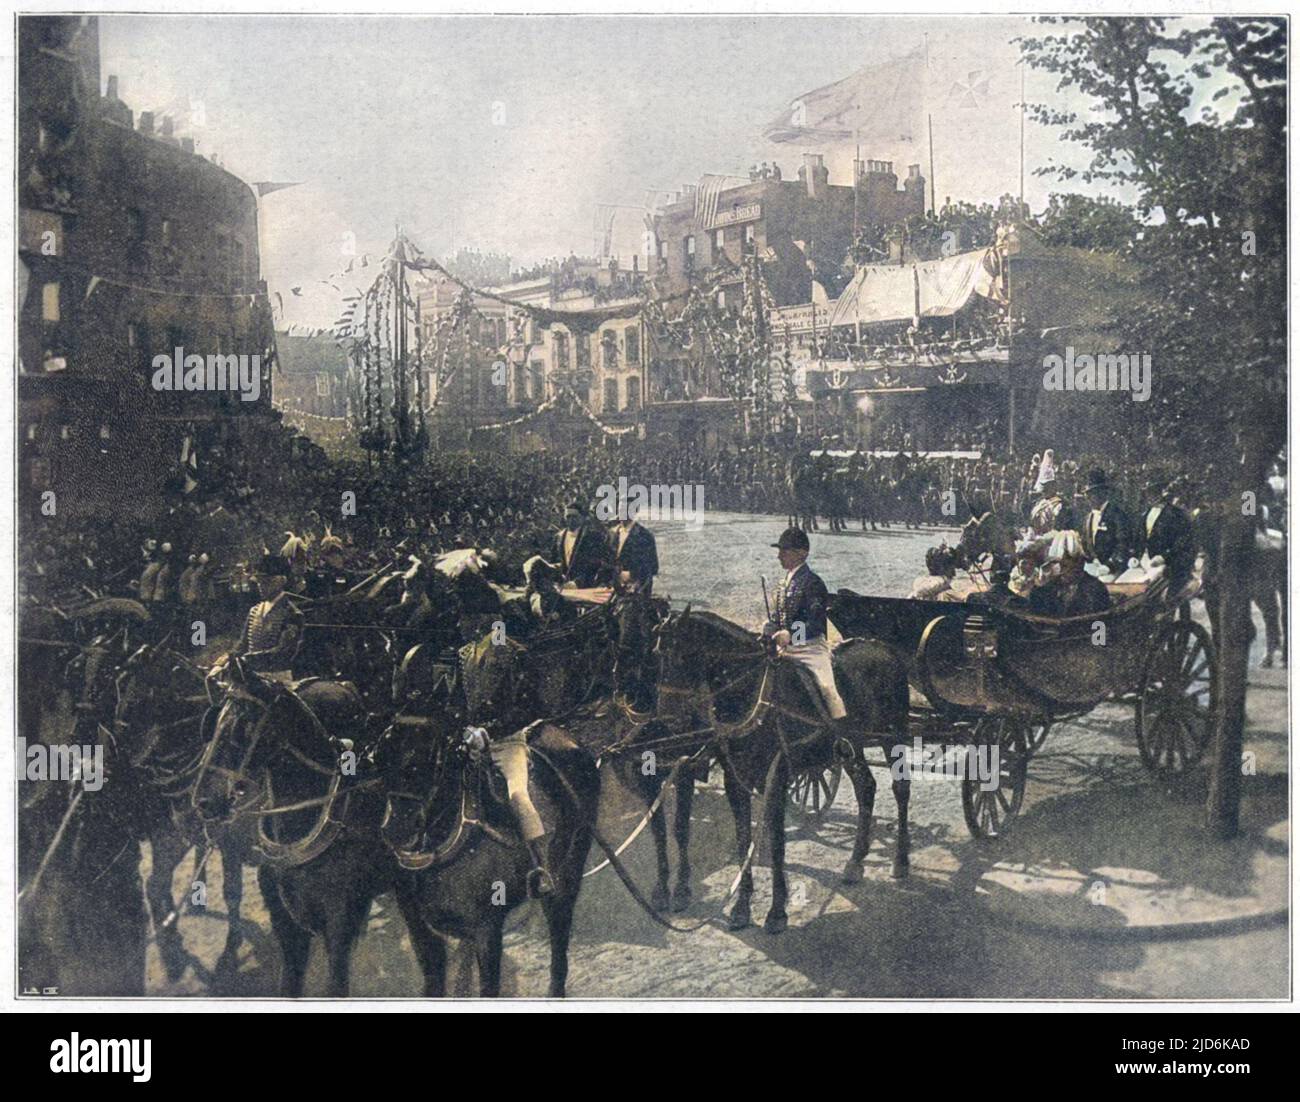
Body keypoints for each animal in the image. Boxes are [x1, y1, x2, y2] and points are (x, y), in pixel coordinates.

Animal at [650, 608, 915, 935]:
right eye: (657, 654)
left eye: (683, 655)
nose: (667, 717)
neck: (749, 696)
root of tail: (883, 648)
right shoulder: (735, 781)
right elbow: (743, 841)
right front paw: (741, 908)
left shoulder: (775, 780)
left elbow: (777, 843)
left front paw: (776, 912)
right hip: (851, 746)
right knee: (865, 787)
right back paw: (855, 862)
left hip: (894, 736)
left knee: (900, 789)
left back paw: (900, 860)